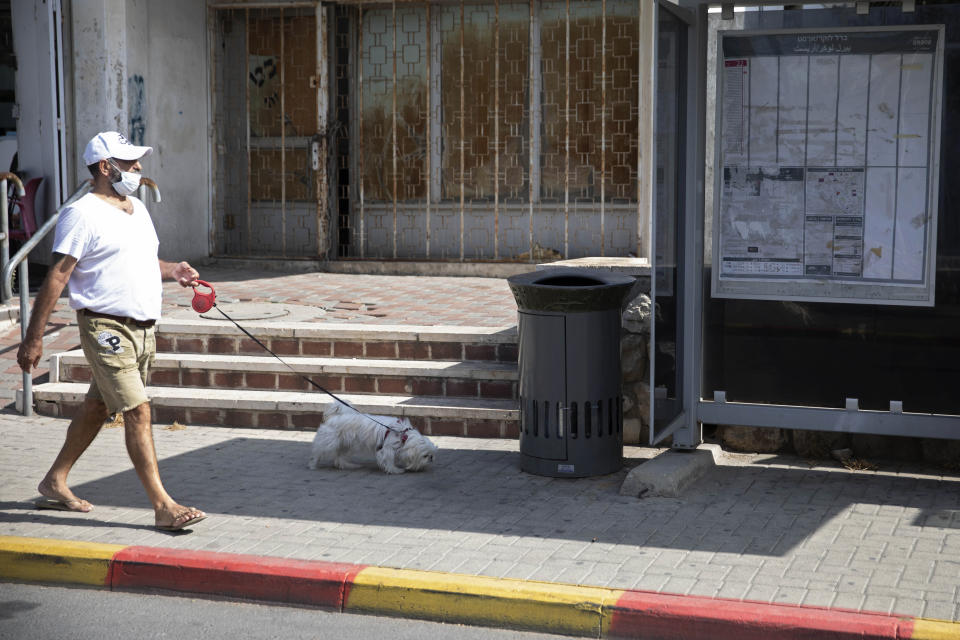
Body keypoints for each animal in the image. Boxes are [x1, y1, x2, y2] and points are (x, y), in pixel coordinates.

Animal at [308, 402, 438, 472]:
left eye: (432, 454)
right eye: (425, 455)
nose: (431, 458)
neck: (403, 435)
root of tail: (334, 417)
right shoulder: (387, 449)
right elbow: (388, 460)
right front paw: (395, 470)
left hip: (347, 444)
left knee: (339, 458)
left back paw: (349, 465)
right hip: (329, 442)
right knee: (318, 452)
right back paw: (313, 464)